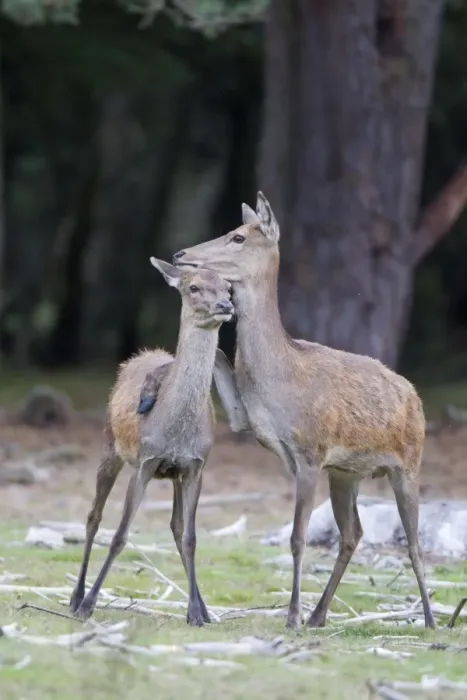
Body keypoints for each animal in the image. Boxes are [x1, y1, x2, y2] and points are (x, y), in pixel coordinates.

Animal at [69, 258, 246, 626]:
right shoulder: (145, 462)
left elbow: (190, 537)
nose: (225, 306)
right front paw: (89, 603)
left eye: (228, 287)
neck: (175, 430)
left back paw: (202, 607)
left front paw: (197, 613)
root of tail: (142, 354)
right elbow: (120, 535)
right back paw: (75, 597)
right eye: (193, 287)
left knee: (176, 526)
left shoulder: (195, 467)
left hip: (173, 475)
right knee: (94, 516)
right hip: (110, 445)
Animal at [171, 191, 435, 630]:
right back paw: (320, 614)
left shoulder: (311, 453)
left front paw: (291, 615)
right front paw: (299, 613)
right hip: (347, 473)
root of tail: (414, 396)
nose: (180, 254)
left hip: (408, 463)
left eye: (238, 236)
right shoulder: (266, 434)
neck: (283, 380)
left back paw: (430, 619)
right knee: (353, 533)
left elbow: (298, 537)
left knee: (414, 542)